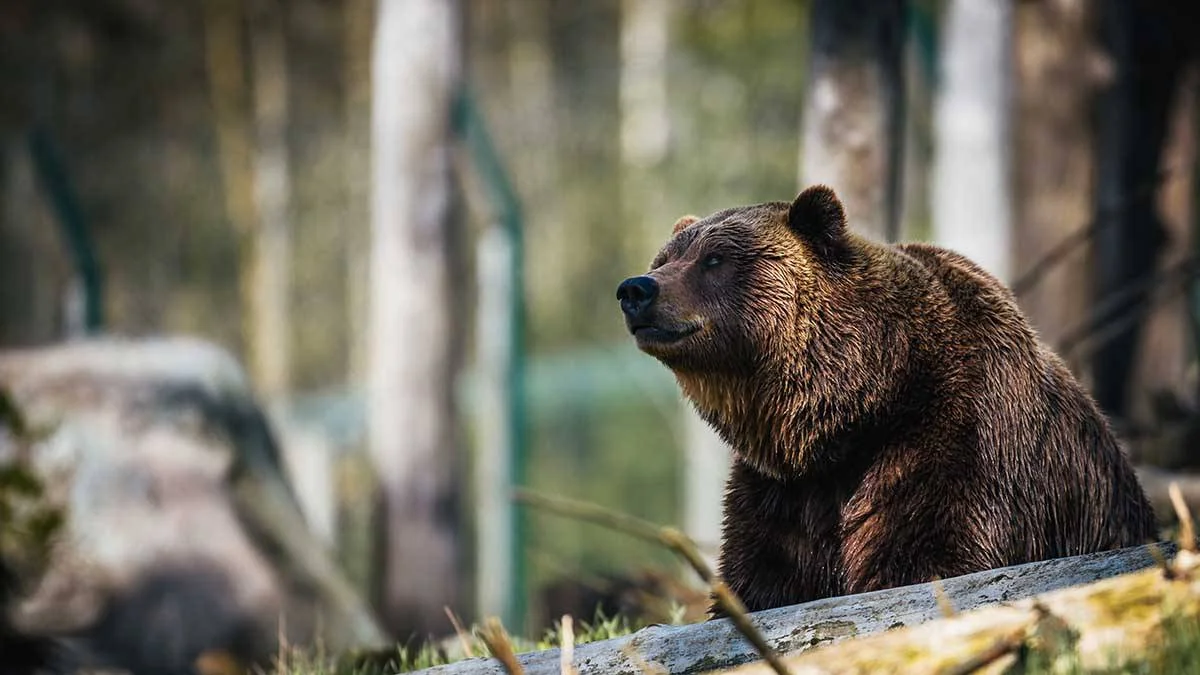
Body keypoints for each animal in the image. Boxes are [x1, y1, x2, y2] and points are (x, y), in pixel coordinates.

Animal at [615, 184, 1158, 615]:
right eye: (664, 259)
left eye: (714, 259)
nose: (636, 289)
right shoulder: (783, 492)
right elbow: (763, 578)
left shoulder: (955, 438)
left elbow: (926, 555)